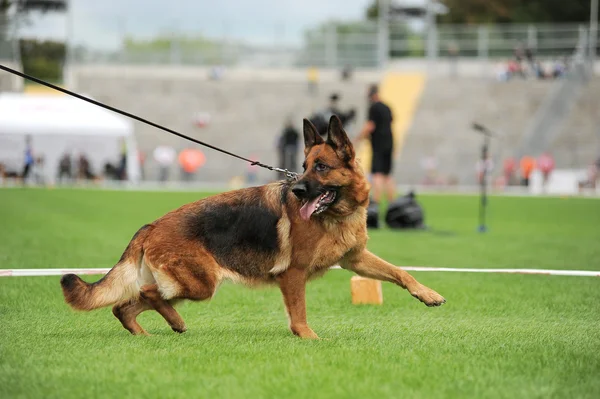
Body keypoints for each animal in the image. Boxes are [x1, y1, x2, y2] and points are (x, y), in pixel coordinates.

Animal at [62, 116, 446, 340]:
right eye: (303, 166)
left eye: (320, 167)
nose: (297, 190)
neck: (337, 214)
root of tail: (151, 225)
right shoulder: (293, 274)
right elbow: (299, 314)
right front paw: (308, 339)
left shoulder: (356, 259)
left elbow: (400, 272)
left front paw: (427, 294)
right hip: (201, 282)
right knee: (147, 294)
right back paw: (175, 322)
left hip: (188, 284)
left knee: (125, 305)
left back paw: (147, 332)